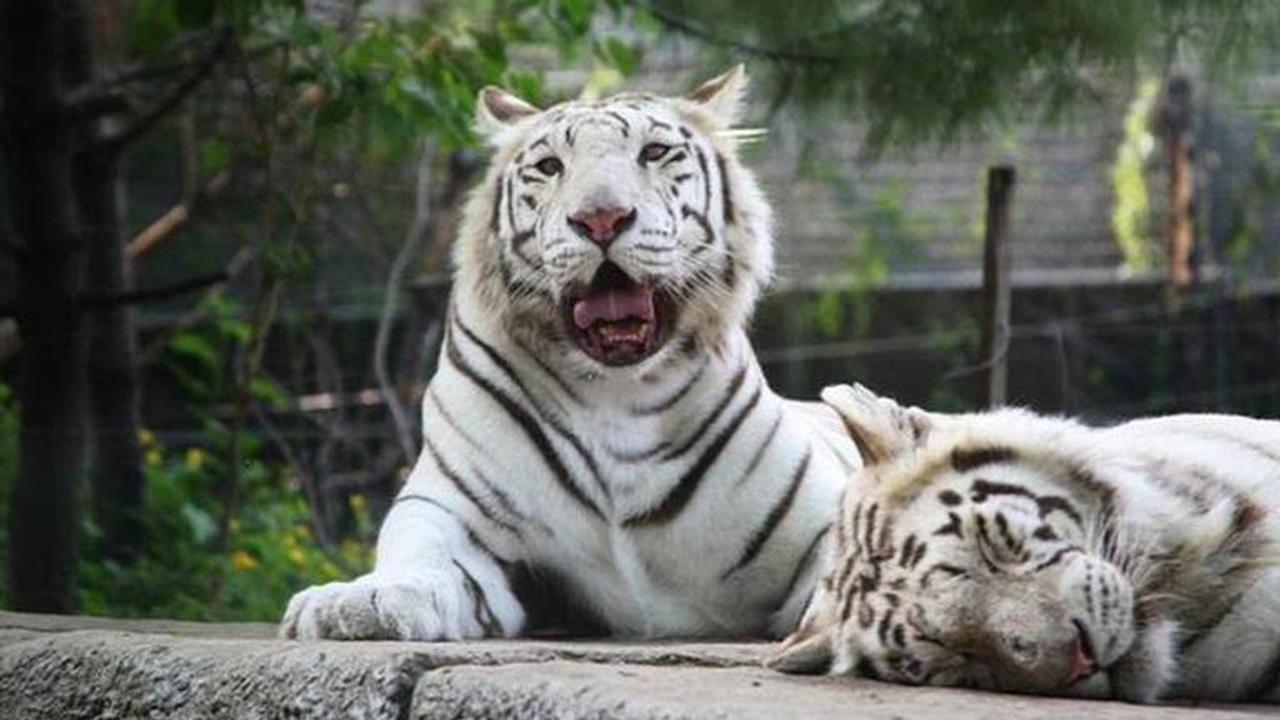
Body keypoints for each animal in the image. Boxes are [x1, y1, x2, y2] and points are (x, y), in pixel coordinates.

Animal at [280, 67, 860, 638]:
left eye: (653, 152)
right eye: (550, 166)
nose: (601, 218)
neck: (619, 394)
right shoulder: (450, 508)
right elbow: (419, 555)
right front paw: (356, 601)